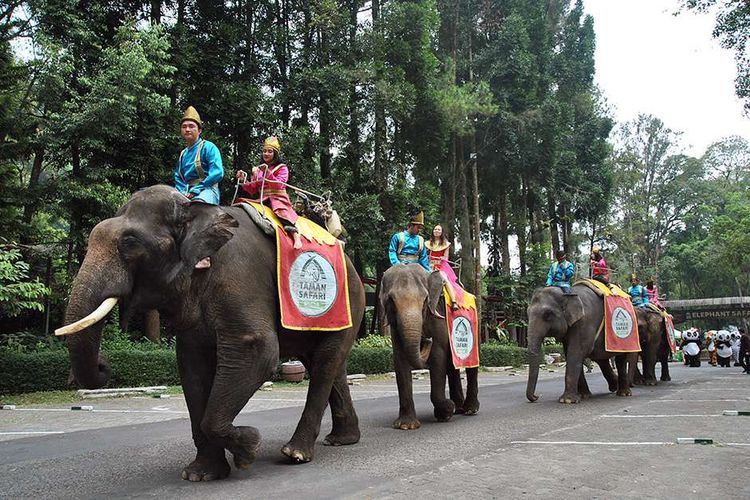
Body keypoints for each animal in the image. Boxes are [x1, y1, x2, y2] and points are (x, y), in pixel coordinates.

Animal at [57, 187, 366, 480]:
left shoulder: (238, 279)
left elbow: (259, 351)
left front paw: (249, 448)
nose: (104, 364)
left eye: (129, 242)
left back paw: (295, 453)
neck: (195, 208)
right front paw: (200, 474)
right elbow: (191, 366)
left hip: (350, 302)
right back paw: (341, 440)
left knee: (325, 363)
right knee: (327, 364)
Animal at [382, 266, 482, 430]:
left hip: (475, 324)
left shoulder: (438, 316)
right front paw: (406, 426)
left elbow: (438, 355)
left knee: (471, 363)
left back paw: (469, 410)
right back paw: (458, 408)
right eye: (390, 300)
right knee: (452, 366)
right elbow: (400, 359)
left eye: (425, 300)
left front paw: (446, 412)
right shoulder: (395, 327)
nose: (427, 339)